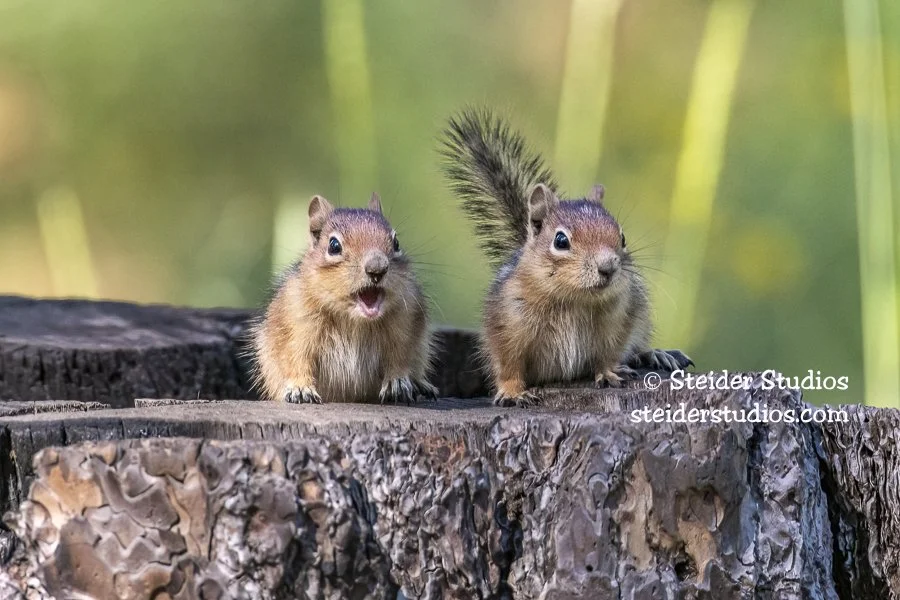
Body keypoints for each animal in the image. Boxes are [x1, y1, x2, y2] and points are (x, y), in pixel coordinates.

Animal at [251, 192, 438, 404]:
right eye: (334, 245)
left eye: (396, 242)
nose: (377, 268)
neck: (354, 319)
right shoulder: (295, 326)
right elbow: (296, 359)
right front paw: (300, 388)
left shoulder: (405, 325)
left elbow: (400, 357)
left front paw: (396, 382)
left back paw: (421, 386)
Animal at [440, 108, 693, 406]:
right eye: (560, 241)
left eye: (622, 238)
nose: (607, 268)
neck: (574, 300)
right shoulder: (508, 325)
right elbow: (509, 365)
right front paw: (512, 392)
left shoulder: (618, 321)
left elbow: (609, 354)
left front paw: (609, 373)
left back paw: (655, 354)